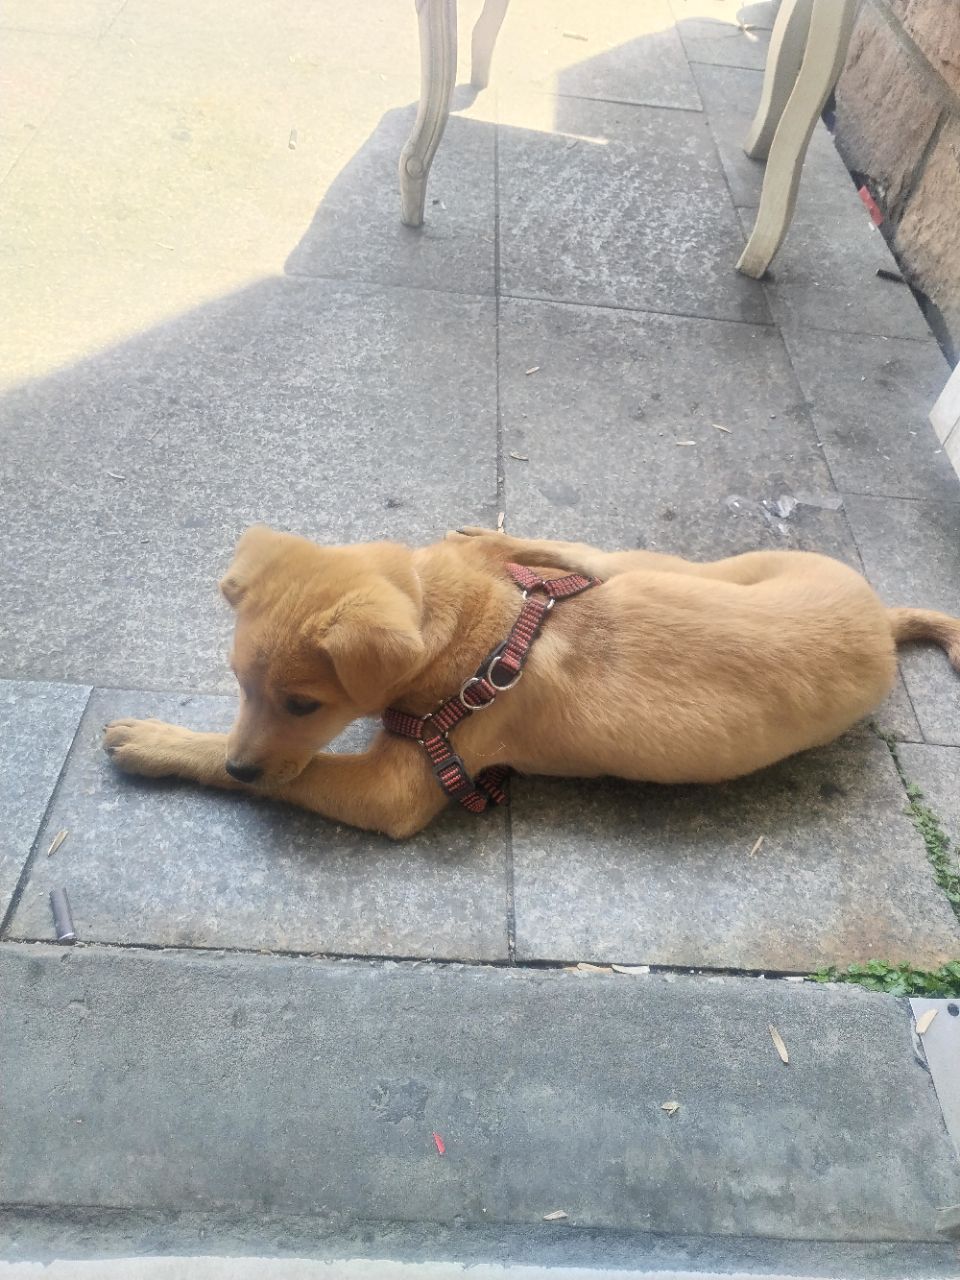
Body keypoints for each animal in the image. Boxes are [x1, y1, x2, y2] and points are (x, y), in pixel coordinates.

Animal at [104, 524, 960, 838]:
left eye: (304, 704)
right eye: (238, 682)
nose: (245, 761)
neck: (475, 630)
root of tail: (881, 620)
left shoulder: (394, 793)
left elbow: (299, 774)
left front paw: (158, 743)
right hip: (694, 571)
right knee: (589, 558)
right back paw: (496, 541)